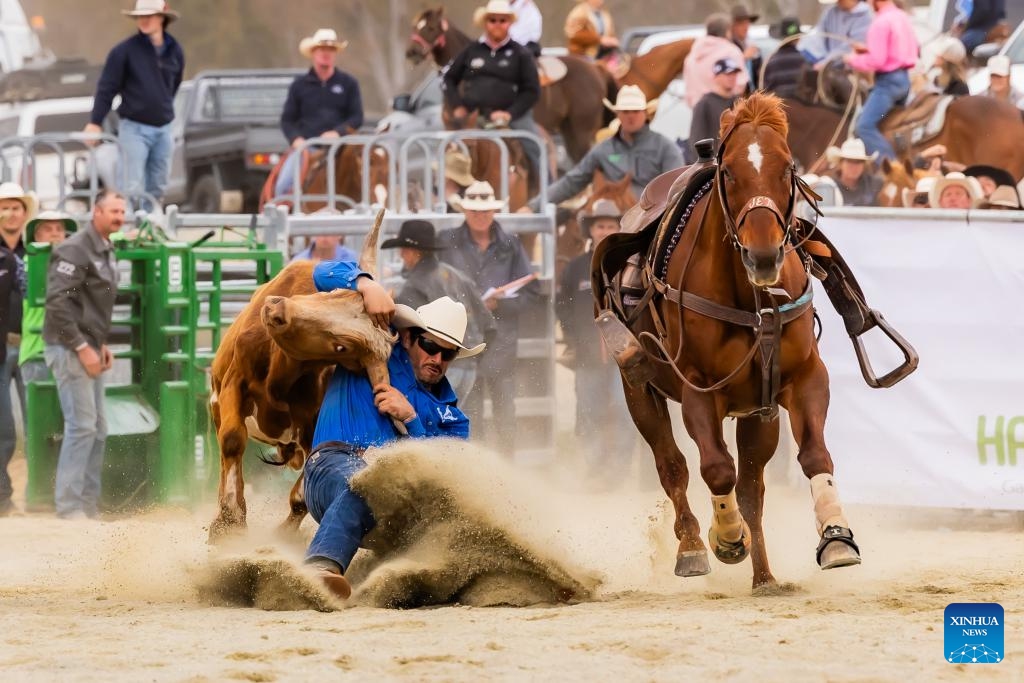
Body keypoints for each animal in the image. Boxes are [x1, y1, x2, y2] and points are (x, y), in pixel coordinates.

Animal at [407, 6, 614, 162]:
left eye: (431, 28)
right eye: (416, 27)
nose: (411, 53)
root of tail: (596, 69)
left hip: (582, 131)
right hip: (569, 130)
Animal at [598, 93, 860, 589]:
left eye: (787, 167)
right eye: (731, 172)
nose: (763, 255)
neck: (751, 297)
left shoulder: (802, 378)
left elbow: (815, 455)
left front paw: (836, 537)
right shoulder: (700, 389)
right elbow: (716, 468)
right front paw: (726, 537)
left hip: (759, 414)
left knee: (753, 489)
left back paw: (765, 578)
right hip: (638, 391)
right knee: (673, 467)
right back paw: (693, 547)